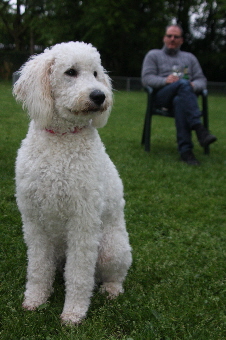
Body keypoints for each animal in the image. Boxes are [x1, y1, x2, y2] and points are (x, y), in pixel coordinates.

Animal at [12, 41, 132, 326]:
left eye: (96, 73)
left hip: (111, 248)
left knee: (114, 275)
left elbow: (79, 274)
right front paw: (35, 300)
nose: (100, 96)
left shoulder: (83, 221)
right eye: (71, 72)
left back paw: (111, 290)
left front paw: (73, 314)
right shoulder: (33, 221)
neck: (62, 137)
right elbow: (37, 268)